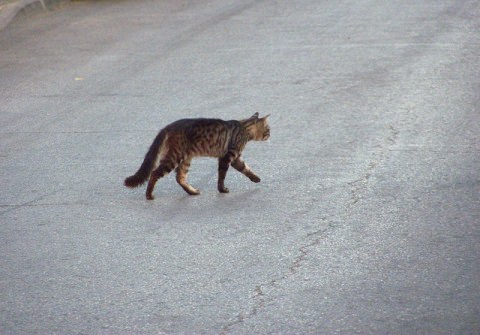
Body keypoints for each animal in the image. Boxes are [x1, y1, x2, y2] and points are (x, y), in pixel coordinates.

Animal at [124, 114, 270, 201]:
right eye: (268, 129)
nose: (270, 134)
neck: (244, 127)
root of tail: (168, 126)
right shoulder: (228, 157)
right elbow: (222, 176)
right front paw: (222, 189)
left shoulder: (235, 158)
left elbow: (246, 169)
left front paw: (256, 178)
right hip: (175, 156)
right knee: (155, 173)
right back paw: (149, 195)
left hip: (185, 159)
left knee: (180, 177)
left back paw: (192, 192)